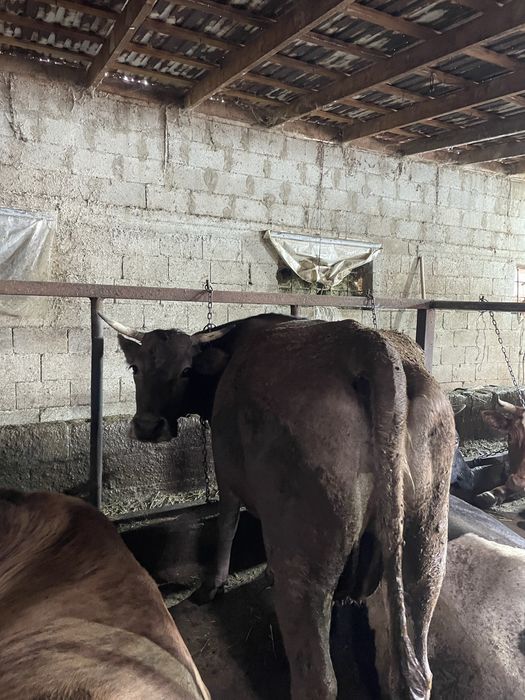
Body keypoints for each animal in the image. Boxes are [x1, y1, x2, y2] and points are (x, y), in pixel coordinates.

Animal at [102, 311, 456, 700]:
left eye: (185, 370)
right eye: (135, 367)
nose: (148, 427)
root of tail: (366, 343)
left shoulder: (226, 471)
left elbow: (226, 525)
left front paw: (213, 585)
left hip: (303, 558)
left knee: (317, 680)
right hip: (425, 543)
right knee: (417, 664)